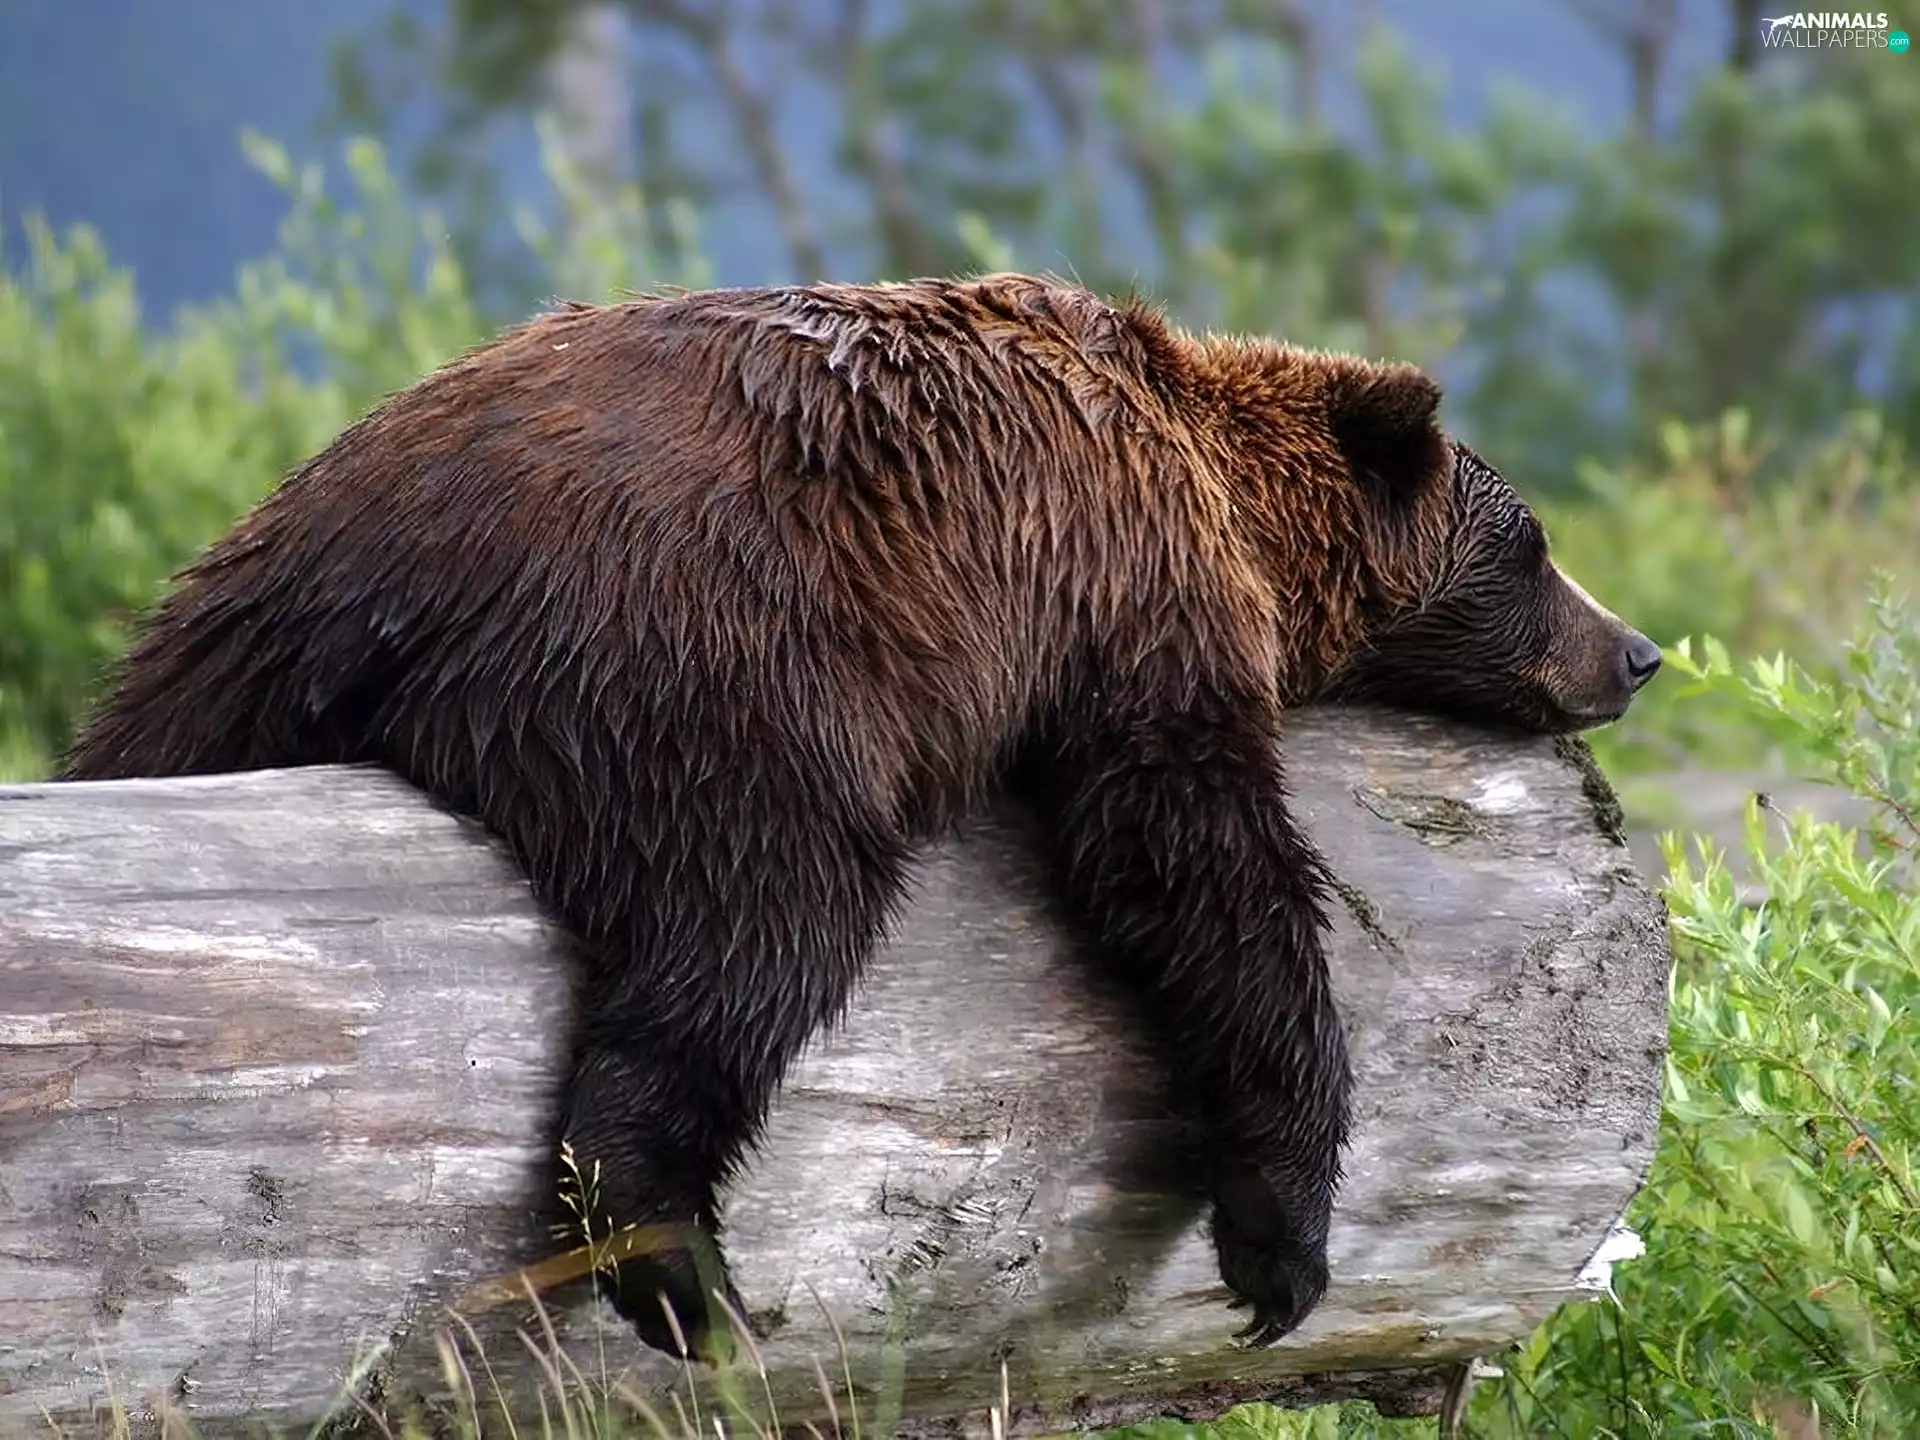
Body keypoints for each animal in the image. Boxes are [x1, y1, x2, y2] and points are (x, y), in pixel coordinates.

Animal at [60, 272, 1661, 1360]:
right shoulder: (1129, 590)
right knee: (761, 922)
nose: (1638, 651)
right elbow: (1192, 861)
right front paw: (1281, 1245)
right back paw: (686, 1272)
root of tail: (370, 574)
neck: (1219, 491)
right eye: (1533, 543)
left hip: (209, 654)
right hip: (701, 663)